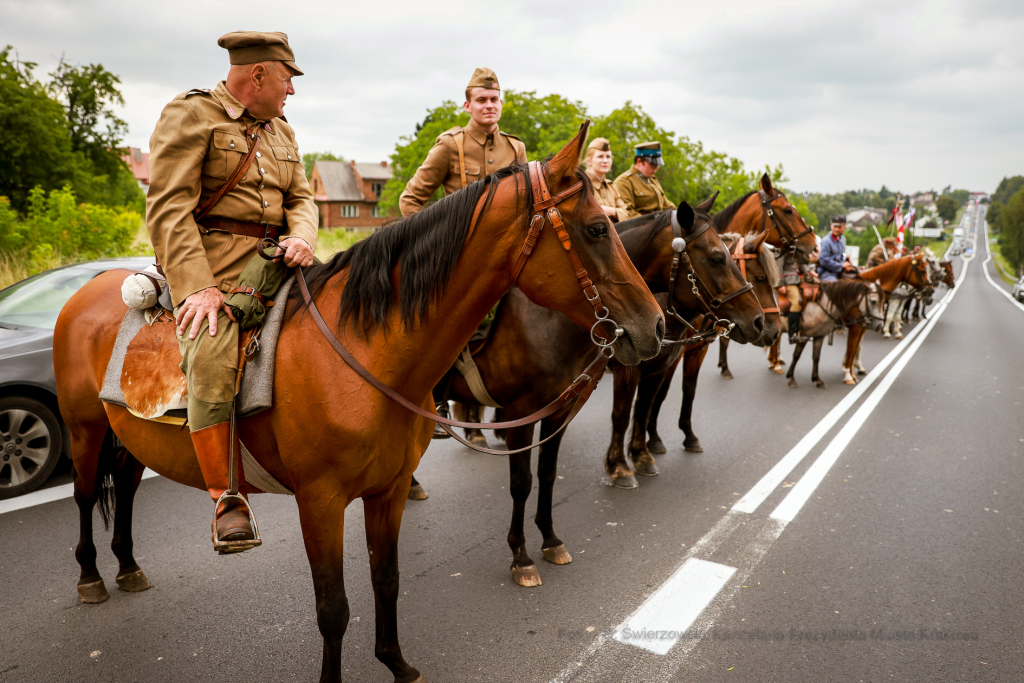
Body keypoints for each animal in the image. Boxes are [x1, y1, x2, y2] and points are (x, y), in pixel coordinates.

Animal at [54, 124, 663, 683]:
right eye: (596, 228)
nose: (653, 326)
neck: (364, 349)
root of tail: (88, 291)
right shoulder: (320, 503)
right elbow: (333, 607)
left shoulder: (387, 491)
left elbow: (385, 580)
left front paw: (397, 663)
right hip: (85, 432)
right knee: (85, 496)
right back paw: (91, 577)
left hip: (129, 441)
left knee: (125, 490)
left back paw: (128, 566)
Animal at [436, 198, 765, 589]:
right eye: (716, 257)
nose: (760, 321)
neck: (551, 318)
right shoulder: (525, 413)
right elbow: (523, 481)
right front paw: (521, 555)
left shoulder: (560, 411)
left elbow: (548, 471)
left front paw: (551, 539)